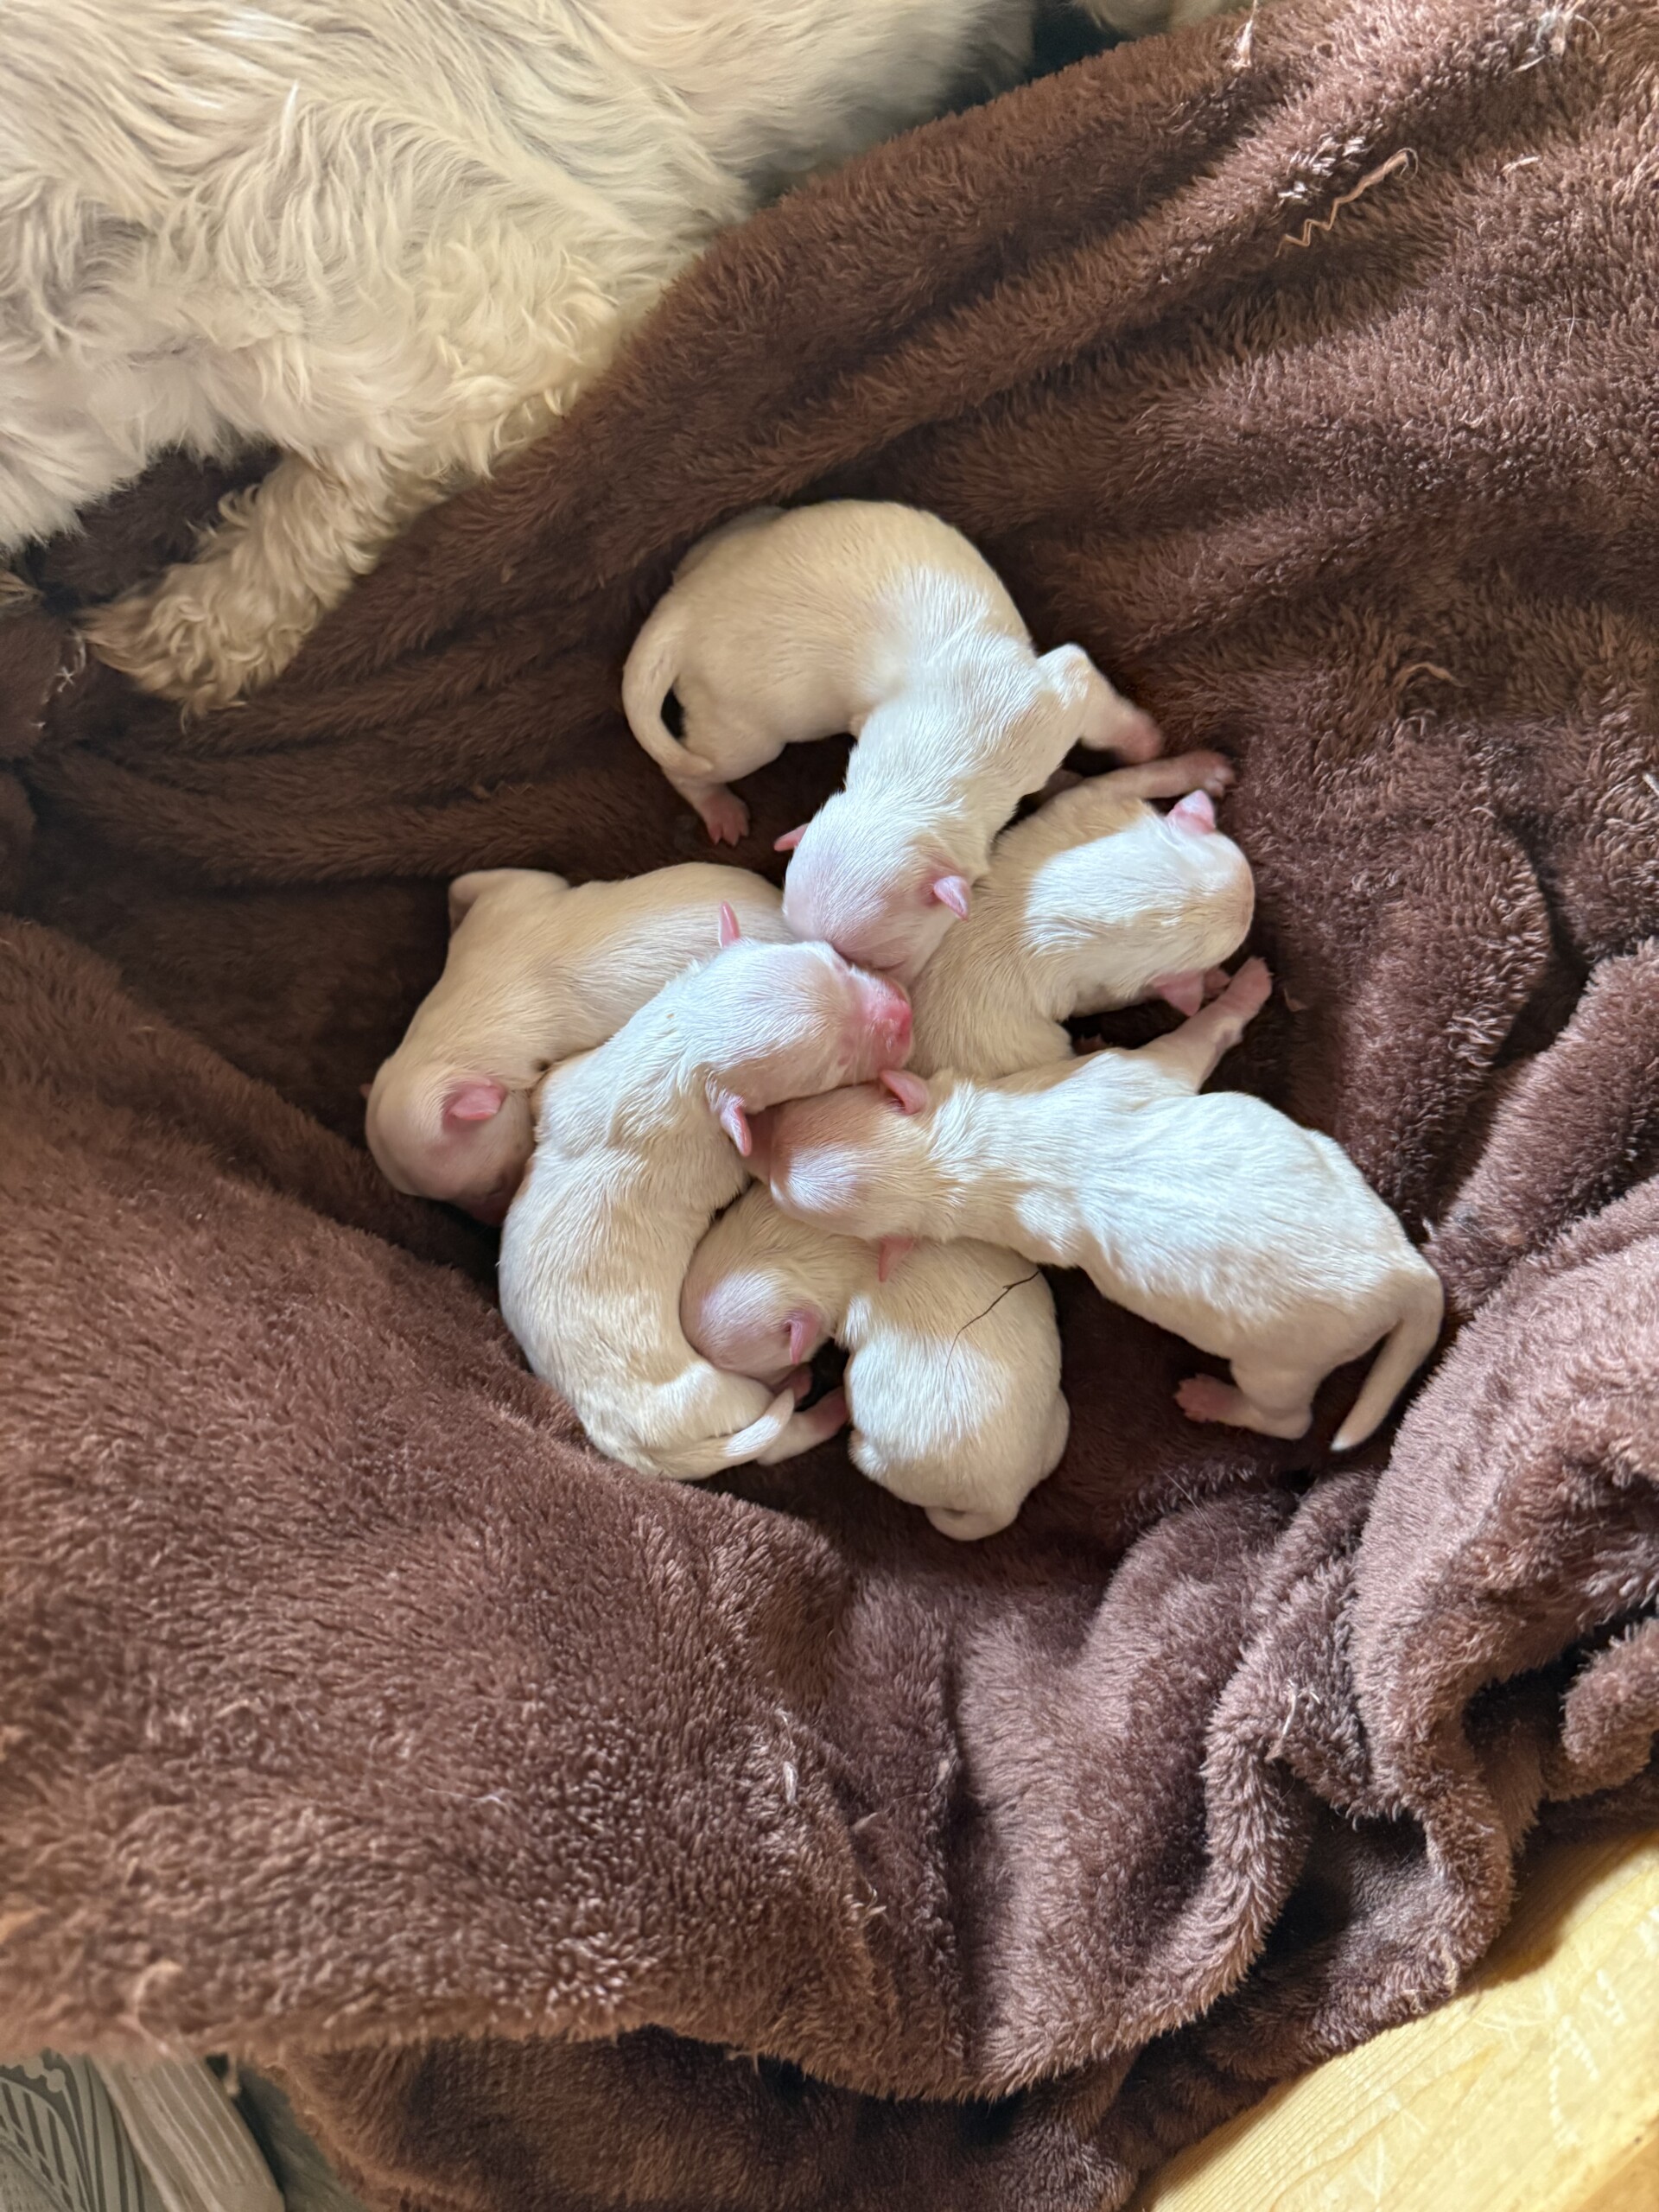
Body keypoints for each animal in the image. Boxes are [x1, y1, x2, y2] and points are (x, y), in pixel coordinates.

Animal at [498, 905, 913, 1479]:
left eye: (834, 960)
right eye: (833, 1064)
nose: (906, 1015)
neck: (679, 1052)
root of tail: (628, 1445)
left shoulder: (580, 1070)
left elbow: (548, 1089)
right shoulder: (718, 1152)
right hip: (719, 1399)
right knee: (772, 1435)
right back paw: (820, 1400)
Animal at [763, 961, 1445, 1448]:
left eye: (805, 1113)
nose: (758, 1141)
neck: (958, 1157)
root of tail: (1404, 1273)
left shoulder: (1104, 1078)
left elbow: (1190, 1040)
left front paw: (1247, 984)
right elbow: (1189, 1042)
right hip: (1279, 1360)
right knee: (1288, 1419)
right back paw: (1213, 1400)